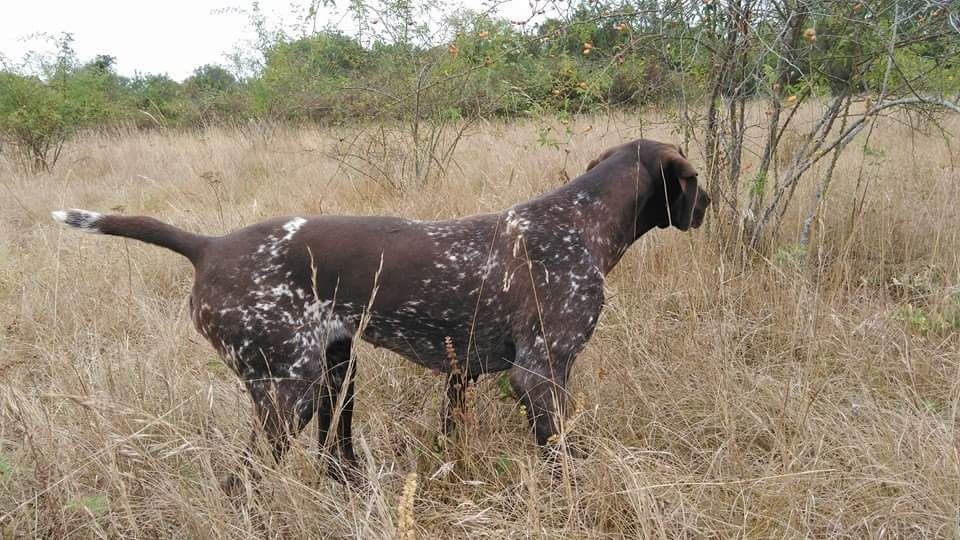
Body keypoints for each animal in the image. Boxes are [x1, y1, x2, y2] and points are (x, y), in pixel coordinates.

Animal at [54, 137, 712, 488]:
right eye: (696, 180)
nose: (709, 203)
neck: (577, 223)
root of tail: (209, 246)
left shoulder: (463, 376)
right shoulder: (541, 375)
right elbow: (559, 456)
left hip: (335, 372)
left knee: (332, 454)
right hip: (287, 392)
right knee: (244, 481)